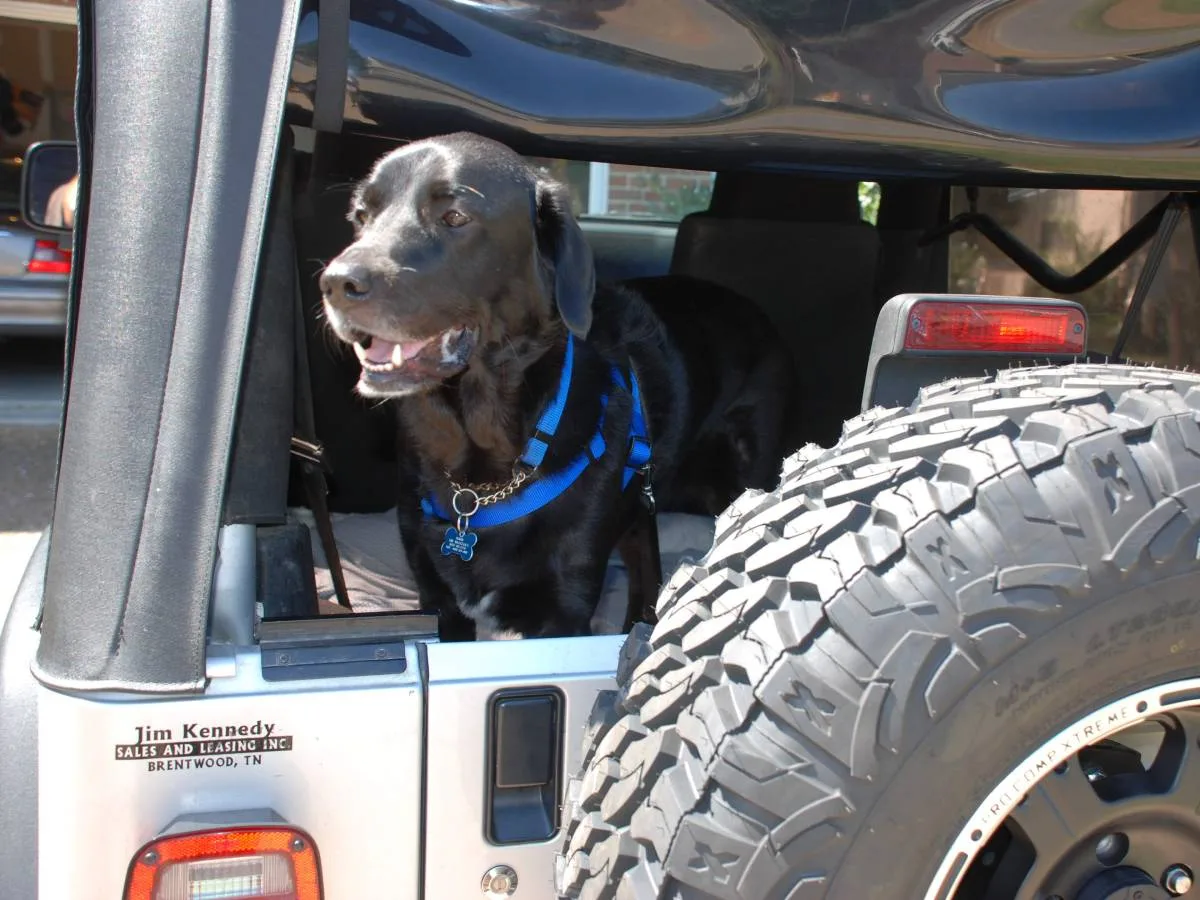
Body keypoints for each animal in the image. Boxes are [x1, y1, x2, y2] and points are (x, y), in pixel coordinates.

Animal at [319, 132, 792, 643]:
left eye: (455, 217)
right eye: (360, 217)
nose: (336, 283)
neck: (483, 480)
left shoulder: (563, 608)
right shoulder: (438, 600)